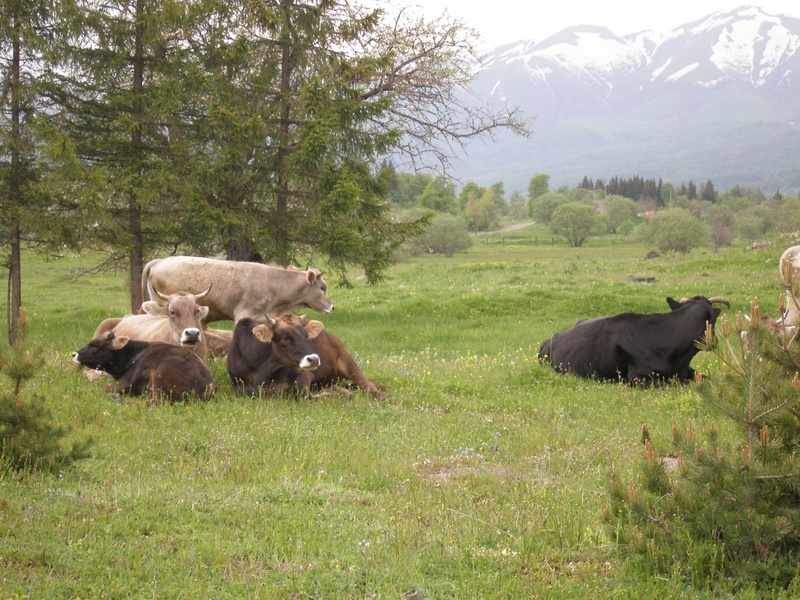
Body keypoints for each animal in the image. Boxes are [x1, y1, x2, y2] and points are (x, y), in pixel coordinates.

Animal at [73, 331, 217, 401]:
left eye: (94, 345)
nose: (74, 354)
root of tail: (210, 383)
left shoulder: (125, 381)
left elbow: (107, 389)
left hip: (159, 380)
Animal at [227, 315, 384, 398]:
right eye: (285, 337)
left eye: (306, 335)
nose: (314, 359)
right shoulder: (239, 388)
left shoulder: (304, 374)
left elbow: (304, 394)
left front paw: (334, 395)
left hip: (346, 360)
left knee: (368, 386)